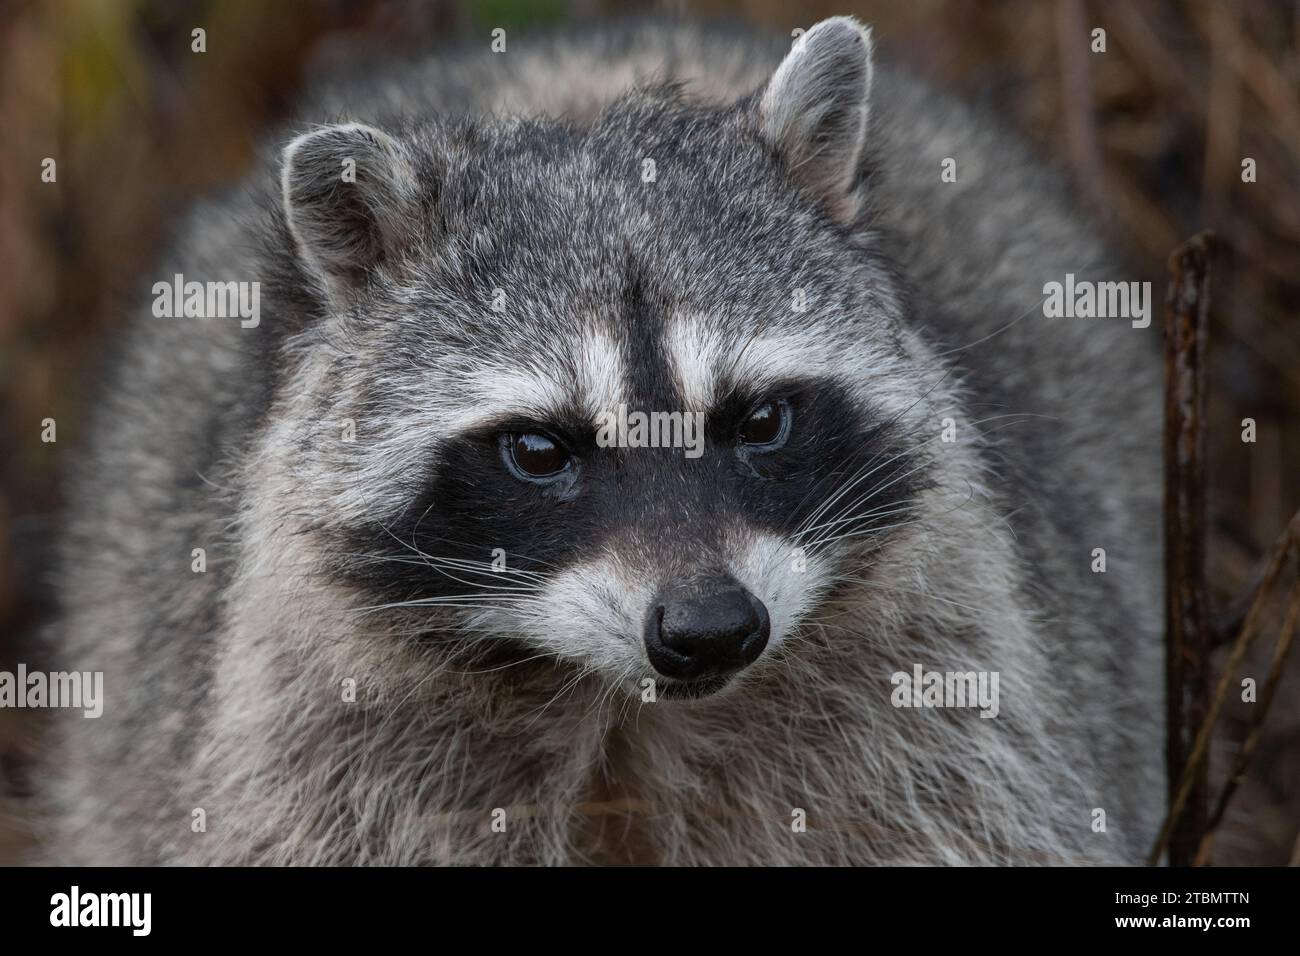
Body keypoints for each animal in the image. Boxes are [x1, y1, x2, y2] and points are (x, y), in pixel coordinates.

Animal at [40, 14, 1164, 868]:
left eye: (760, 421)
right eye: (540, 450)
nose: (712, 629)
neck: (620, 702)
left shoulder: (933, 702)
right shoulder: (319, 735)